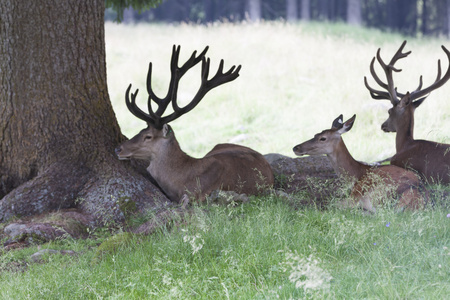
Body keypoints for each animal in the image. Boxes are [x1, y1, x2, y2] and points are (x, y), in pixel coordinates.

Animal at [294, 113, 424, 212]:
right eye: (315, 134)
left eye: (323, 138)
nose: (296, 148)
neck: (355, 173)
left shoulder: (354, 195)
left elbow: (331, 203)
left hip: (374, 197)